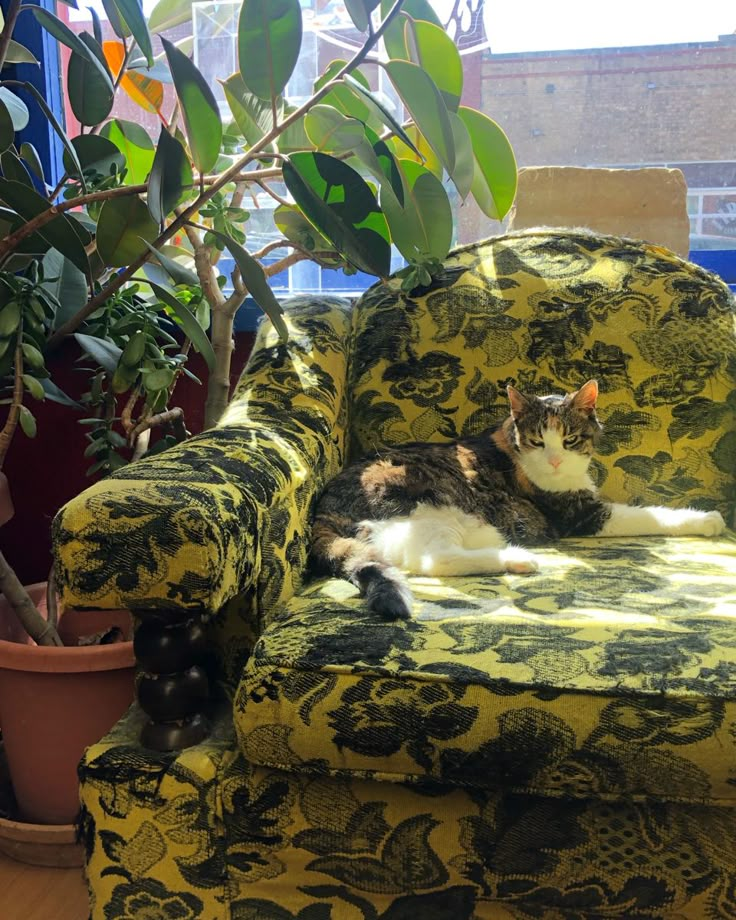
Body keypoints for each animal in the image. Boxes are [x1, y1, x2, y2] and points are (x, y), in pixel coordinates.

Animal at [308, 378, 728, 620]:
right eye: (538, 441)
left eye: (570, 439)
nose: (555, 459)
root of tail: (322, 510)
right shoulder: (581, 514)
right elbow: (650, 516)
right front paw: (708, 520)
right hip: (435, 505)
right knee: (432, 561)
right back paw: (519, 558)